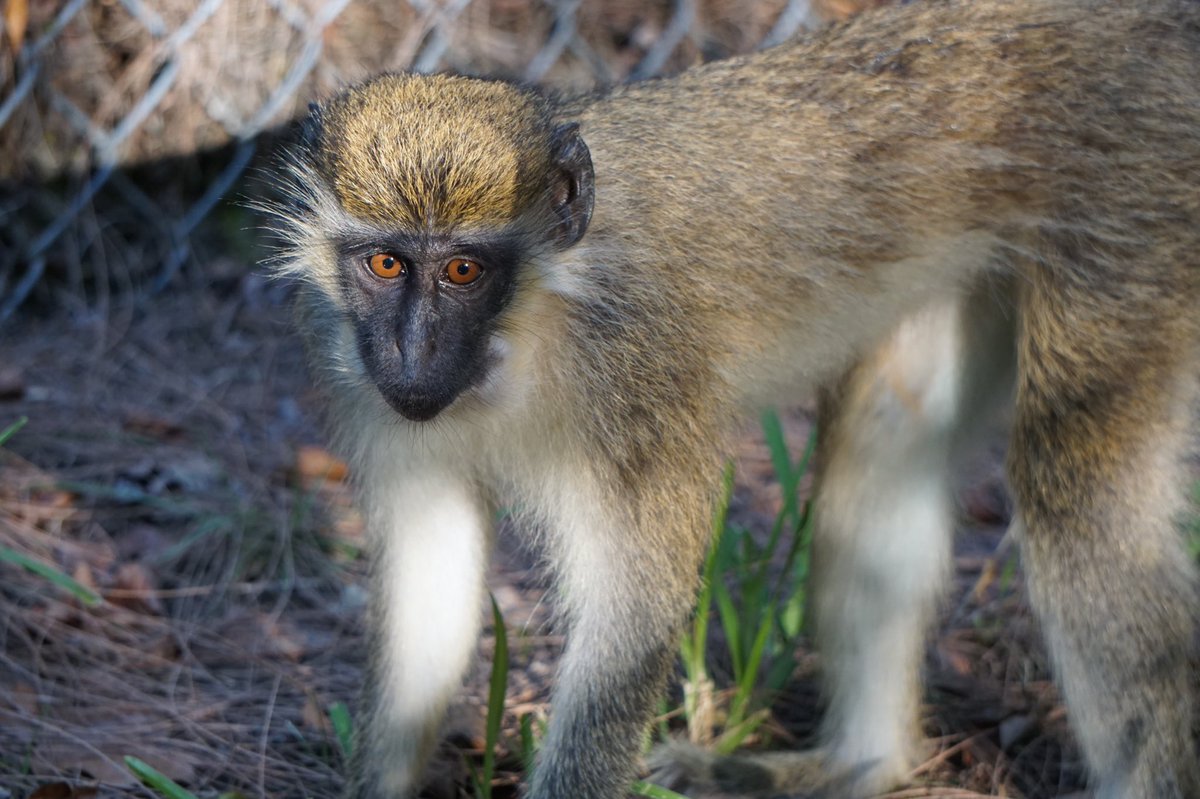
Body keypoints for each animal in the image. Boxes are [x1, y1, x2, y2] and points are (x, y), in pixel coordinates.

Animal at [264, 0, 1200, 796]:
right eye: (387, 263)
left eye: (463, 269)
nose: (412, 353)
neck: (530, 328)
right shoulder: (367, 386)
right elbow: (431, 593)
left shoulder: (641, 384)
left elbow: (632, 620)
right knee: (886, 439)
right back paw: (857, 763)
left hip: (1140, 219)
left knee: (1073, 488)